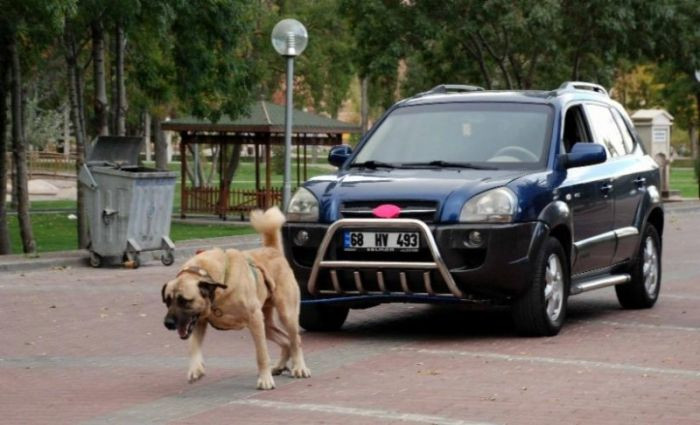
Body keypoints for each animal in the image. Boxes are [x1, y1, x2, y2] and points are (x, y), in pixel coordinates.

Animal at [163, 207, 310, 390]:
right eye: (167, 301)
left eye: (184, 300)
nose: (168, 324)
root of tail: (272, 250)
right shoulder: (199, 320)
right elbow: (193, 345)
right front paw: (195, 369)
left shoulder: (254, 319)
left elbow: (262, 354)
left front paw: (265, 379)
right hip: (266, 324)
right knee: (286, 340)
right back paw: (280, 365)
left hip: (286, 314)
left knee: (295, 340)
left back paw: (299, 367)